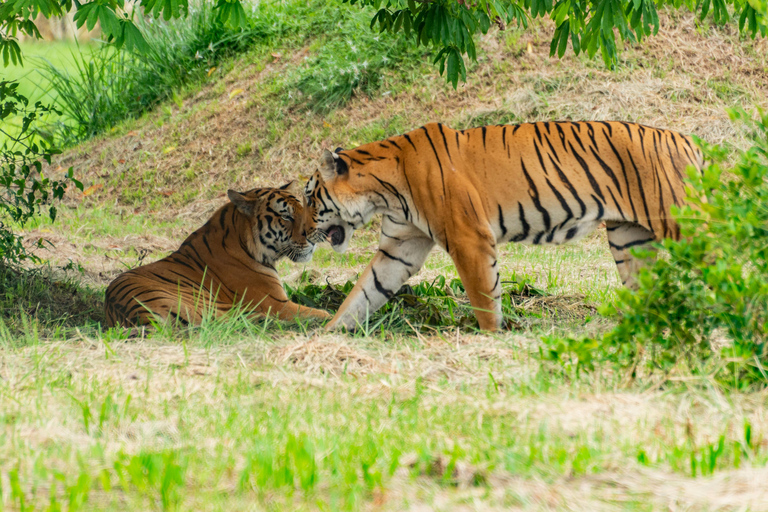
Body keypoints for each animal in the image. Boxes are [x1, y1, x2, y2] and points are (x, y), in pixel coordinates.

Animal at [104, 183, 330, 328]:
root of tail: (138, 315)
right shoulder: (277, 304)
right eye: (286, 216)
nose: (314, 237)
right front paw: (327, 314)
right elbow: (318, 311)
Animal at [304, 121, 704, 332]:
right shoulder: (399, 246)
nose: (304, 232)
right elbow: (363, 294)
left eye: (309, 198)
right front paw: (327, 335)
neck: (384, 189)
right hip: (628, 237)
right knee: (643, 287)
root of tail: (689, 140)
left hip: (682, 223)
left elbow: (483, 296)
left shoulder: (469, 237)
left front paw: (492, 339)